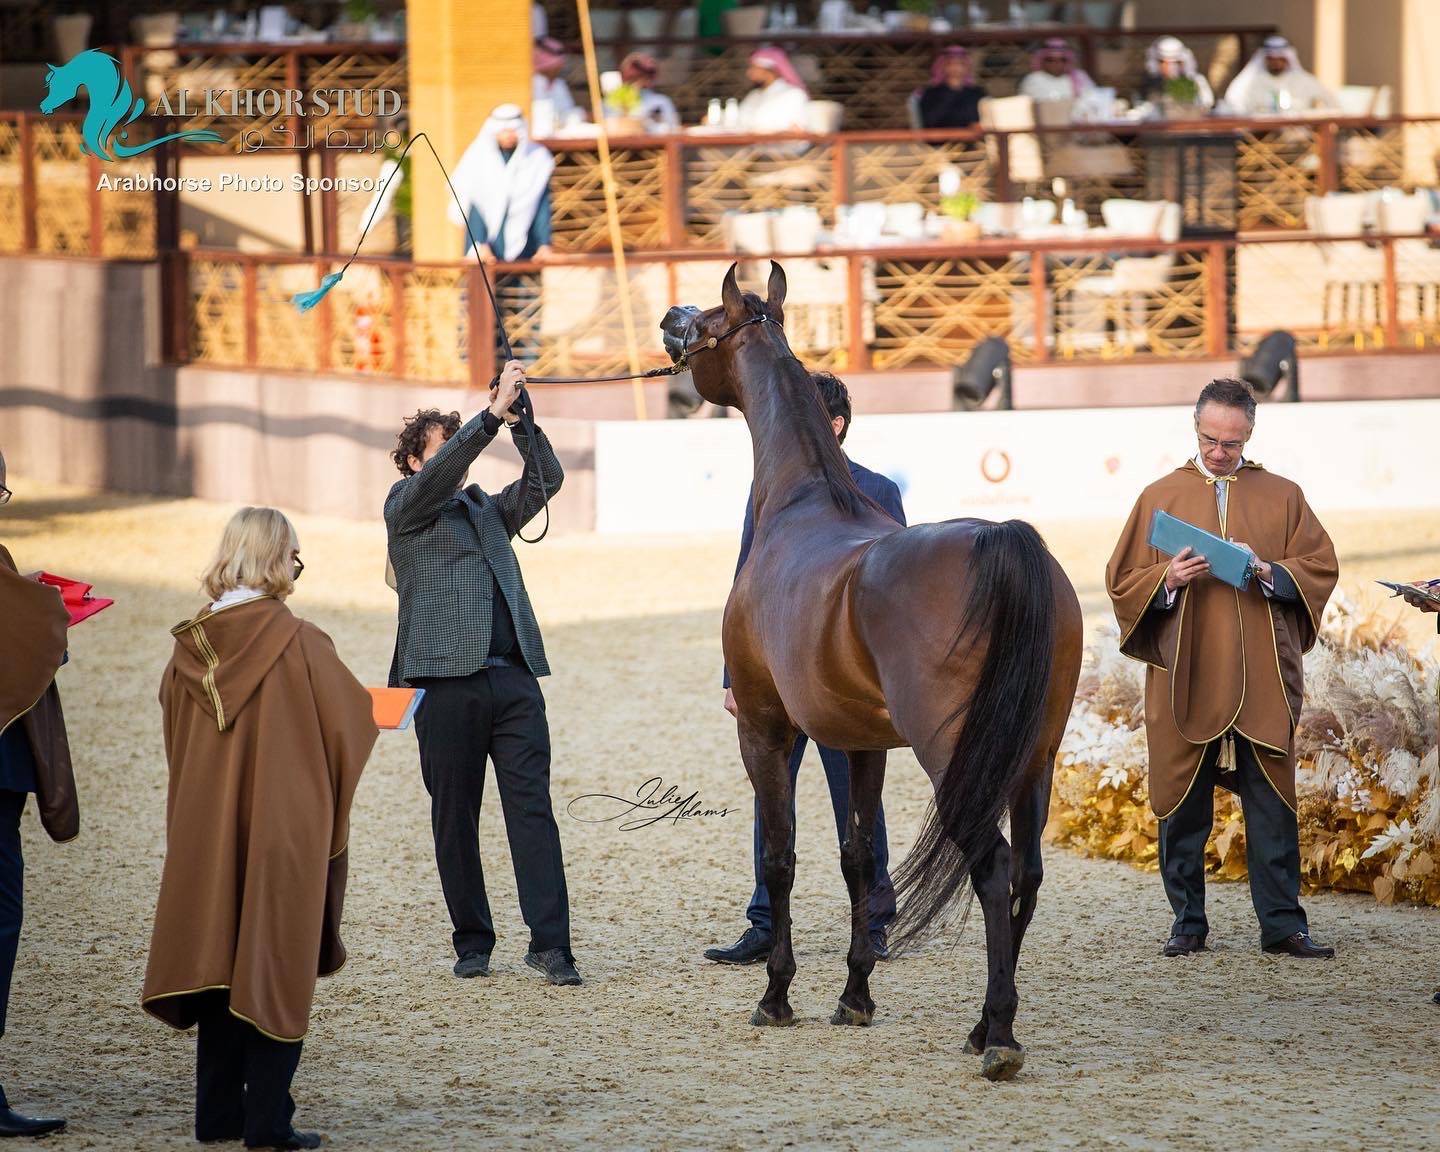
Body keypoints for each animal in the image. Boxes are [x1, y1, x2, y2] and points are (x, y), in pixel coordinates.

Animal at [660, 262, 1083, 1081]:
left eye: (709, 325)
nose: (670, 317)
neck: (804, 503)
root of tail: (1007, 543)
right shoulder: (861, 744)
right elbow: (858, 857)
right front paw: (855, 994)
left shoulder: (764, 729)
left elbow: (781, 855)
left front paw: (776, 996)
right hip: (1033, 757)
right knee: (1028, 874)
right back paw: (982, 1028)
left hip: (955, 756)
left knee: (992, 868)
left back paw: (999, 1037)